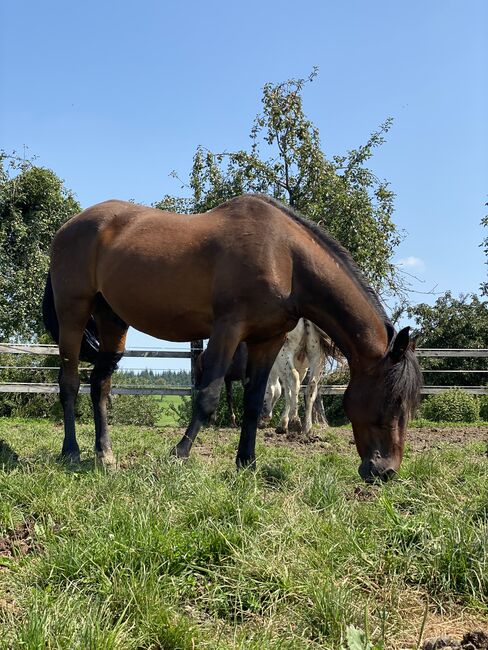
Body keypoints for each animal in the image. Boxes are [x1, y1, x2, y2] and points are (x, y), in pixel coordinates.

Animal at [43, 192, 424, 480]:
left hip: (113, 320)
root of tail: (68, 228)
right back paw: (71, 452)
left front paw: (247, 462)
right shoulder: (228, 329)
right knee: (70, 383)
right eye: (393, 400)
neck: (284, 257)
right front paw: (179, 453)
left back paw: (104, 455)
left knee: (100, 385)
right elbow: (208, 395)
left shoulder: (268, 340)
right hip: (73, 312)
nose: (386, 471)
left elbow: (255, 401)